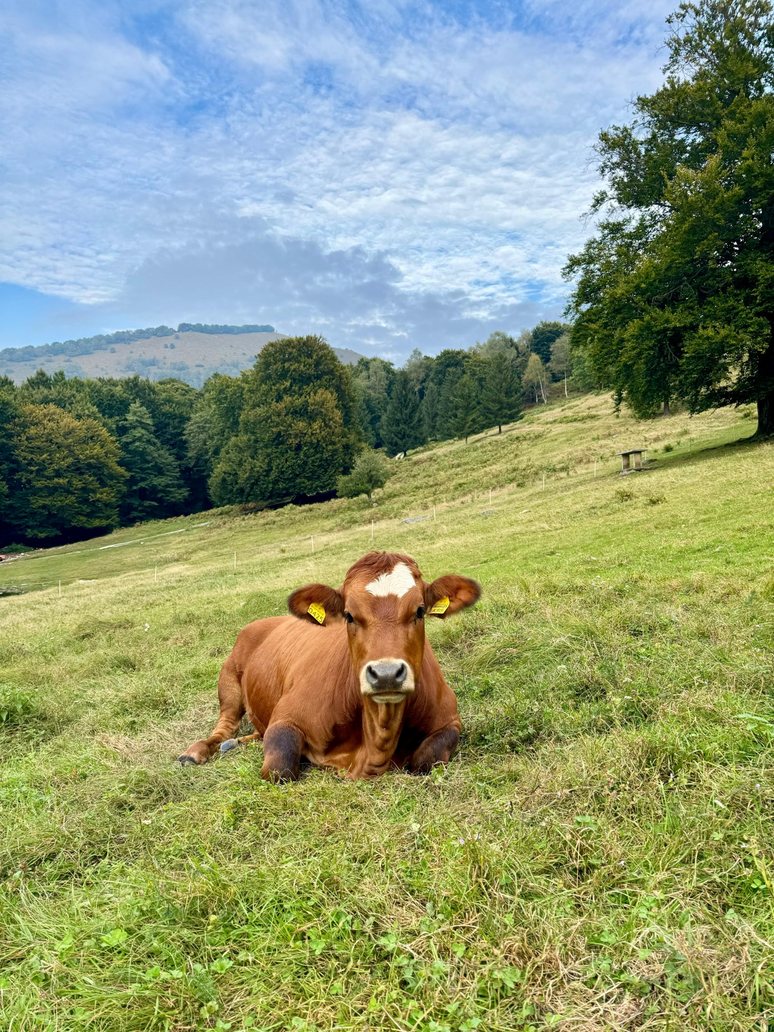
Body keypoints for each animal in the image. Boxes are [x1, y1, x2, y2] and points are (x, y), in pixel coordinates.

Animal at [179, 551, 481, 780]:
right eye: (349, 615)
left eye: (419, 611)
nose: (386, 674)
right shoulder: (285, 717)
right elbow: (279, 768)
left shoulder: (450, 719)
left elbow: (425, 760)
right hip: (228, 681)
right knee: (225, 725)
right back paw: (197, 751)